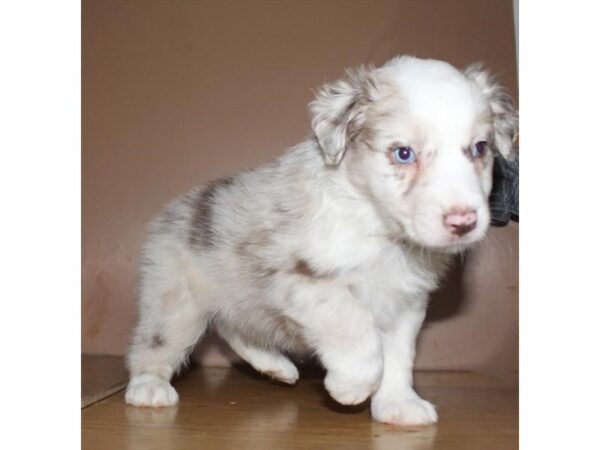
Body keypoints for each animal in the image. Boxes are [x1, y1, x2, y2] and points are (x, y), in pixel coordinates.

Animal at [125, 56, 516, 426]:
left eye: (480, 148)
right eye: (403, 153)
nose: (464, 222)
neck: (379, 227)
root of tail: (174, 209)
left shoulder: (406, 302)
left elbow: (398, 355)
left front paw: (398, 405)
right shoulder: (300, 281)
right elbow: (356, 328)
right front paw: (351, 386)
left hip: (238, 294)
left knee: (231, 326)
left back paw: (275, 366)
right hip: (176, 300)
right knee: (154, 343)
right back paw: (148, 387)